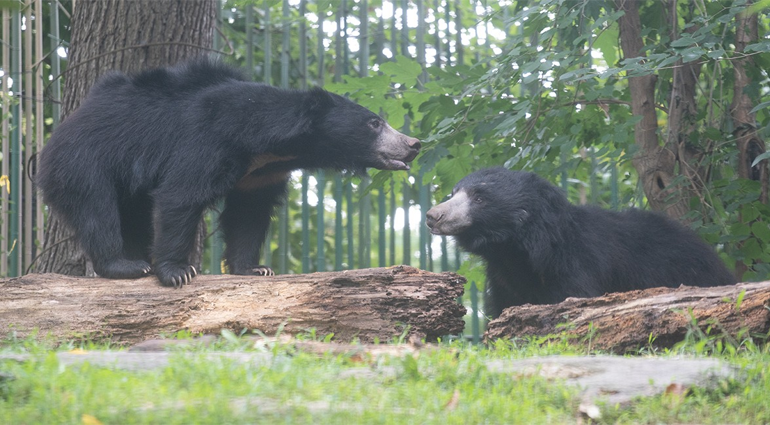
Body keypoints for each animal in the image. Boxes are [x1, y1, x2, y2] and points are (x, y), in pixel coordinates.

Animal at [38, 57, 420, 287]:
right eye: (374, 123)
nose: (413, 144)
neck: (272, 146)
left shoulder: (261, 173)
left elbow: (248, 214)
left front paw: (255, 268)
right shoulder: (208, 139)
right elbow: (181, 194)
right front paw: (178, 272)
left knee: (133, 214)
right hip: (86, 159)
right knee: (96, 207)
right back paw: (126, 265)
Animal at [425, 167, 736, 319]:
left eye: (479, 198)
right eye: (454, 192)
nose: (432, 215)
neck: (517, 250)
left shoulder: (578, 265)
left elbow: (576, 296)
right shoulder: (503, 277)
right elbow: (506, 304)